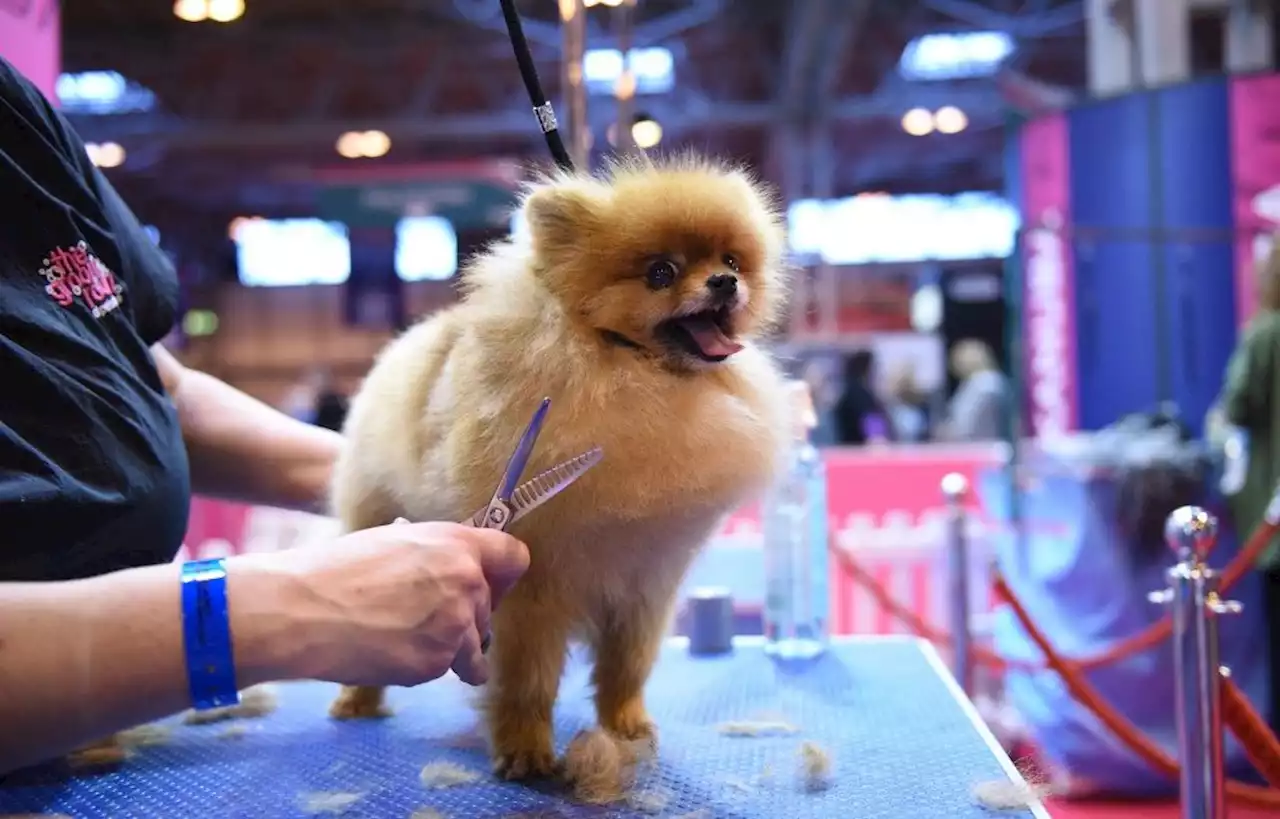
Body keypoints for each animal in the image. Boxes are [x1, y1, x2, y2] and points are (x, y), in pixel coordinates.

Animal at [325, 152, 793, 778]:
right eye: (660, 272)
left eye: (732, 260)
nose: (724, 283)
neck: (627, 368)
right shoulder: (533, 589)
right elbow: (528, 680)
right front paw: (525, 749)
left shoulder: (646, 584)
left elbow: (626, 666)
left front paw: (626, 724)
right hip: (375, 522)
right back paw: (357, 698)